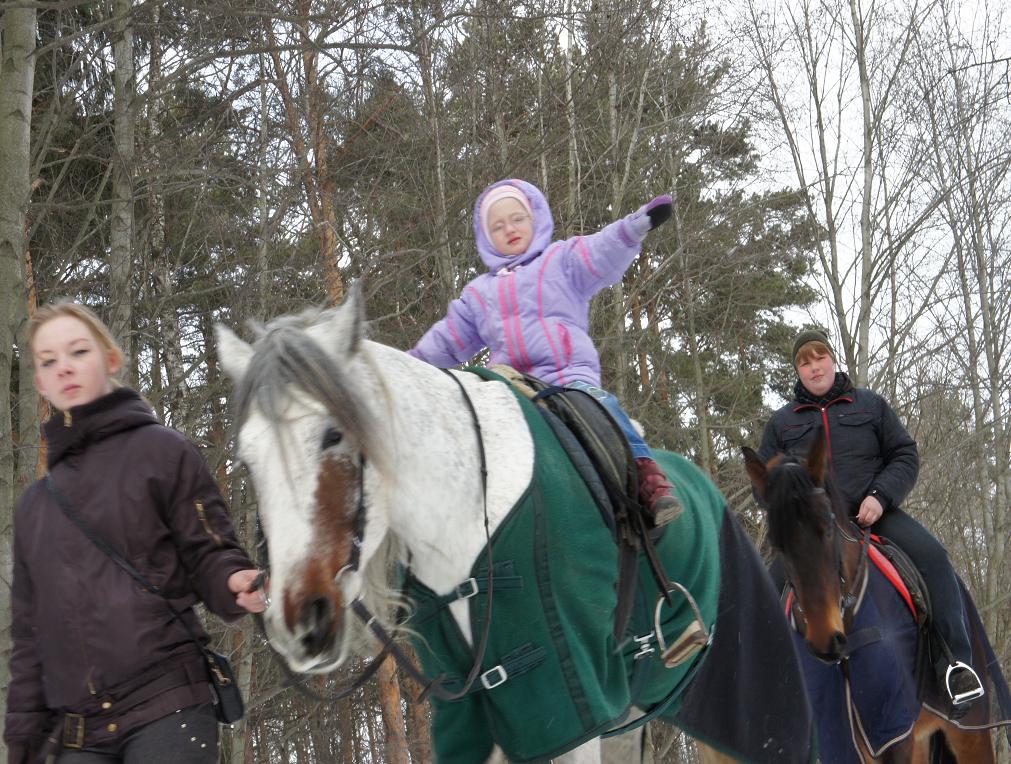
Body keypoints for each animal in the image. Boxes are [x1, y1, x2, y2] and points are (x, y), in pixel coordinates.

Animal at [219, 287, 812, 764]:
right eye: (247, 458)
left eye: (334, 435)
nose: (302, 623)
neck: (467, 512)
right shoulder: (481, 718)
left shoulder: (567, 709)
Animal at [744, 430, 994, 764]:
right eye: (776, 541)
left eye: (827, 524)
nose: (825, 639)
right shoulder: (842, 741)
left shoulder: (893, 733)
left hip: (969, 734)